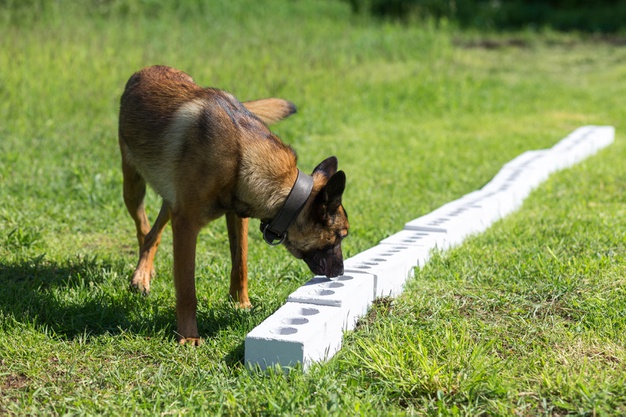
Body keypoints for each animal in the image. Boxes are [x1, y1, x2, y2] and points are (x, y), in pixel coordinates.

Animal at [117, 66, 348, 344]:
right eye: (341, 236)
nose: (341, 273)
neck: (241, 155)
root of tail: (147, 69)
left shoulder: (237, 216)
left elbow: (241, 263)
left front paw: (241, 304)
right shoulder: (186, 225)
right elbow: (187, 290)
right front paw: (189, 336)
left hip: (169, 198)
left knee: (154, 231)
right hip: (133, 188)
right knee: (143, 227)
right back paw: (141, 275)